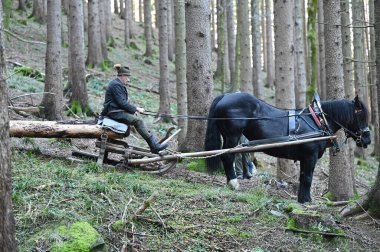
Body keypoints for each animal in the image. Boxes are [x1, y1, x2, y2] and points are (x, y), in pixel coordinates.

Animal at [205, 92, 372, 203]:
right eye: (360, 115)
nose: (367, 139)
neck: (318, 120)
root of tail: (224, 96)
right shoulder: (310, 156)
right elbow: (308, 177)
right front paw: (306, 200)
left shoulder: (305, 158)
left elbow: (303, 176)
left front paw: (302, 198)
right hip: (232, 136)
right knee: (228, 156)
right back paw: (233, 183)